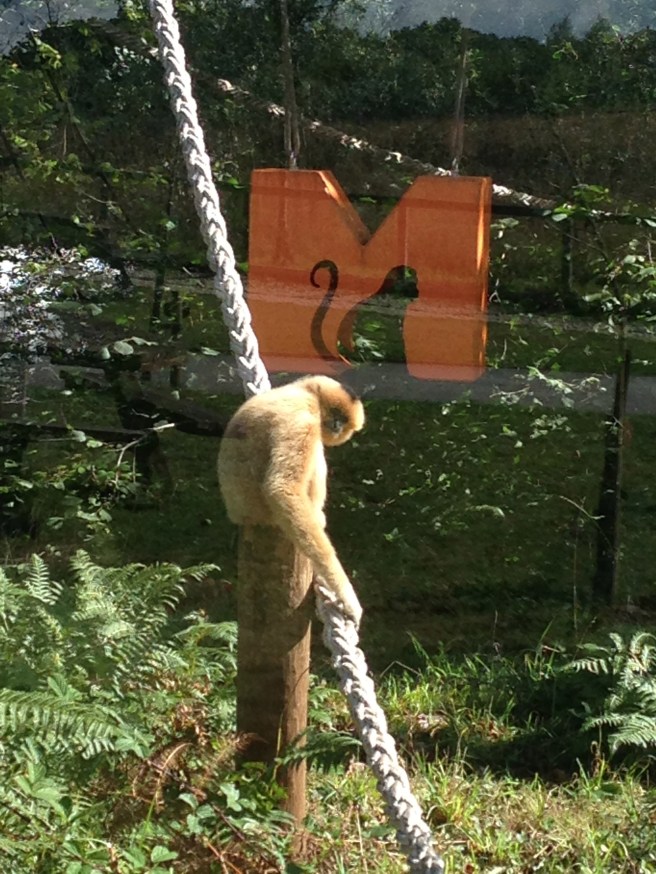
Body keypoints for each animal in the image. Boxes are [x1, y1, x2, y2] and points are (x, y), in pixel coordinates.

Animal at [217, 375, 364, 626]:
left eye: (342, 420)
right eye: (336, 415)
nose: (336, 425)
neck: (304, 391)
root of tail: (237, 514)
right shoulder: (301, 419)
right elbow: (282, 488)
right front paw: (346, 594)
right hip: (262, 511)